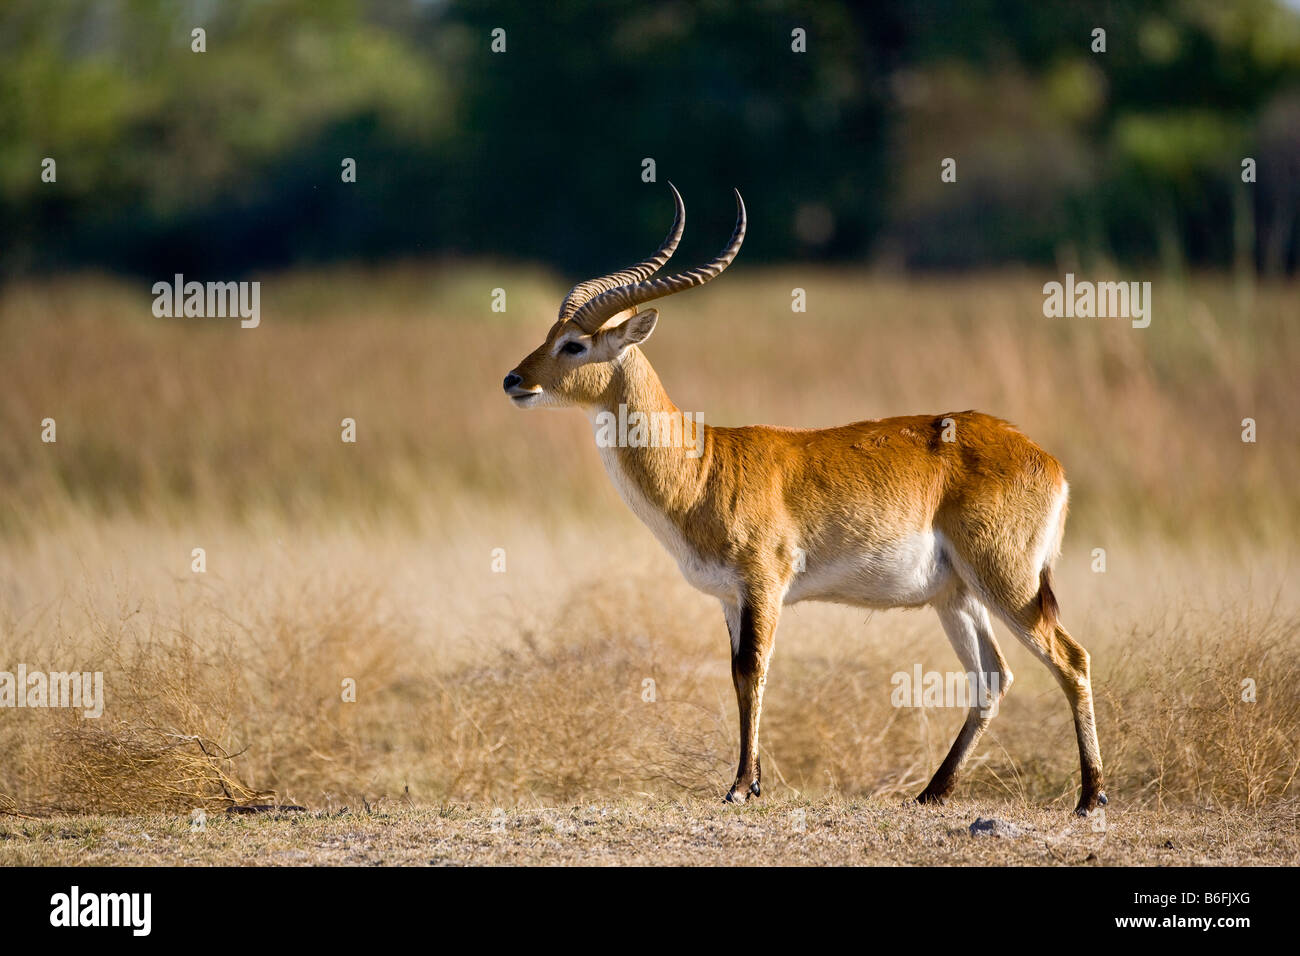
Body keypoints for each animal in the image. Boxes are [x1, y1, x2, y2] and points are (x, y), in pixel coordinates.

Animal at [504, 187, 1107, 816]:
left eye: (575, 344)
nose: (514, 380)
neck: (704, 465)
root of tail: (1045, 458)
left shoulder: (764, 584)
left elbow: (754, 671)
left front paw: (740, 787)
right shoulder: (731, 598)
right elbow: (738, 674)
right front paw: (751, 782)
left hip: (1008, 581)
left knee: (1072, 659)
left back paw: (1090, 798)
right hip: (957, 596)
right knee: (992, 677)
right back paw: (932, 793)